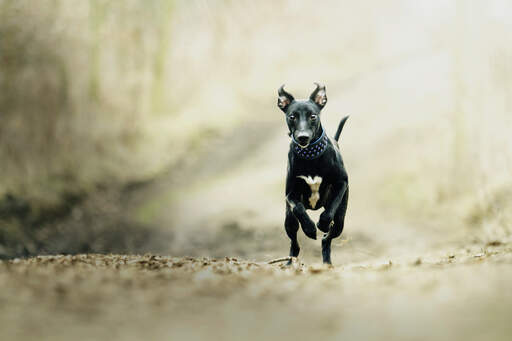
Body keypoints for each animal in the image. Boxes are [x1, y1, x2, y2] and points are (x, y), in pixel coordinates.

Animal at [278, 83, 350, 264]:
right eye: (292, 117)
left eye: (313, 116)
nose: (303, 137)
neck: (310, 155)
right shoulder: (290, 195)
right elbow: (298, 208)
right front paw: (310, 229)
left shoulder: (341, 183)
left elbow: (330, 210)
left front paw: (322, 224)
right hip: (289, 221)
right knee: (294, 243)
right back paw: (290, 262)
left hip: (340, 221)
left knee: (328, 236)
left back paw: (327, 262)